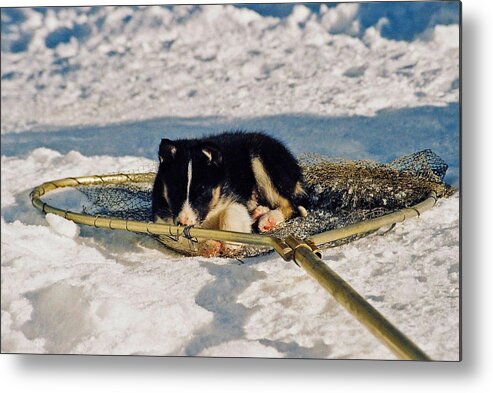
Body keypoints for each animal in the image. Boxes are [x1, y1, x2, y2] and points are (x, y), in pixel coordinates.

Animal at [152, 130, 306, 256]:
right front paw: (209, 246)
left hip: (263, 161)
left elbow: (230, 212)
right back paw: (259, 213)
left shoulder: (236, 198)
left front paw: (231, 244)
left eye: (202, 190)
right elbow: (176, 236)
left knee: (290, 205)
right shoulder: (161, 219)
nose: (183, 222)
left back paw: (269, 219)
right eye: (174, 190)